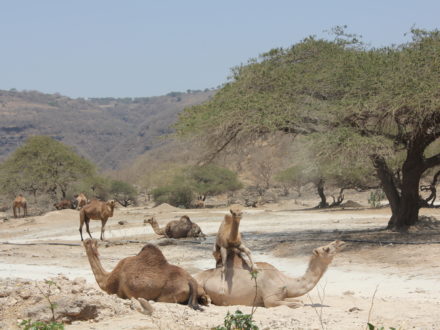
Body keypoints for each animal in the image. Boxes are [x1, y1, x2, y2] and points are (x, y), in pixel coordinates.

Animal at [195, 240, 344, 306]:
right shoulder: (270, 299)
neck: (286, 281)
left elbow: (299, 300)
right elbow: (297, 304)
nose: (340, 242)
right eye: (326, 248)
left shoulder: (282, 295)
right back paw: (206, 300)